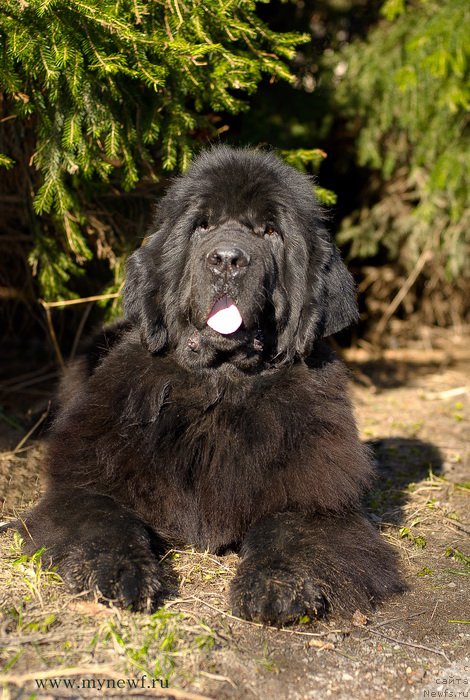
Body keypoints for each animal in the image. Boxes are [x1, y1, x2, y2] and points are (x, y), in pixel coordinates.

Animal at [18, 148, 402, 624]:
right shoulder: (85, 481)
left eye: (271, 232)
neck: (219, 388)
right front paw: (116, 572)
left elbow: (288, 528)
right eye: (202, 226)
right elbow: (103, 518)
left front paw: (276, 586)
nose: (227, 259)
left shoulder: (320, 501)